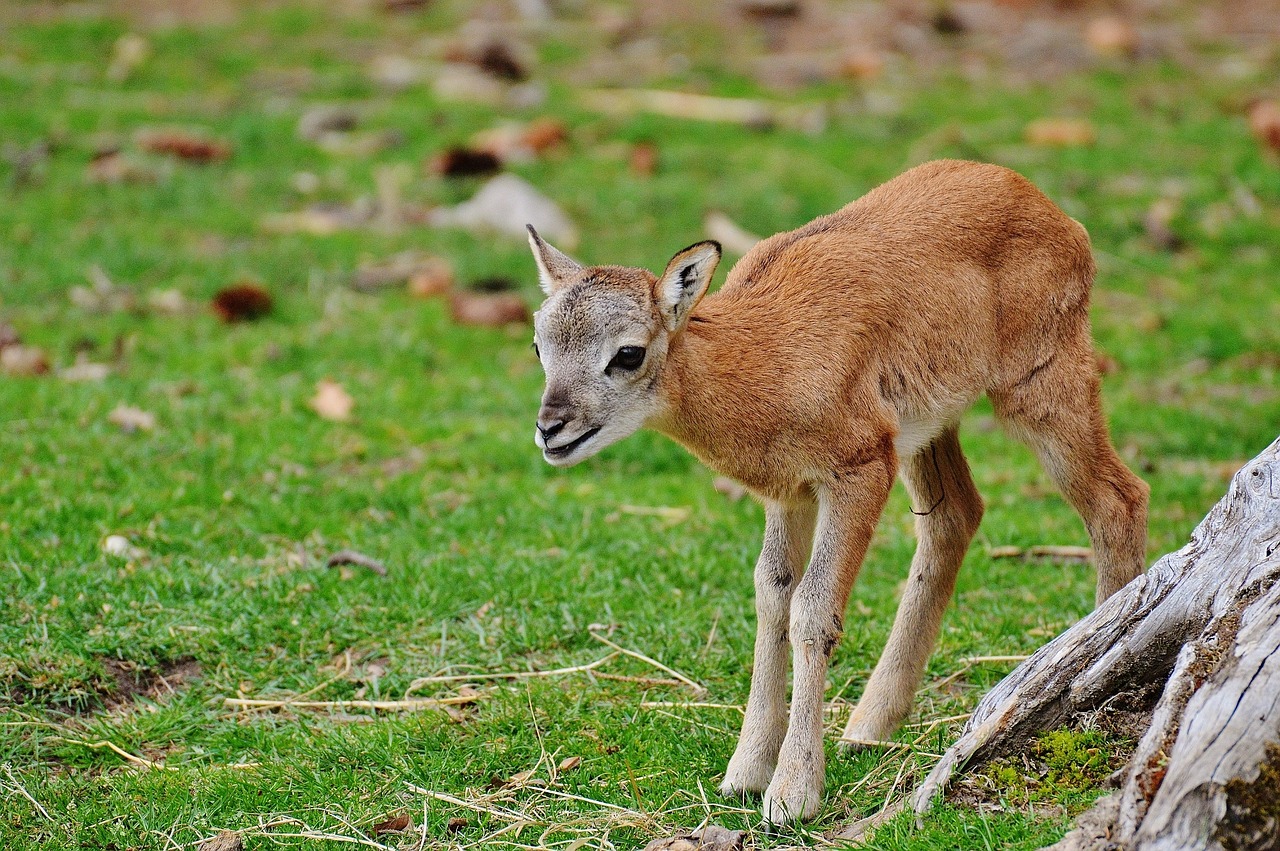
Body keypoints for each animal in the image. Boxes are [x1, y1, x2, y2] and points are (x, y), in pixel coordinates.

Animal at [524, 159, 1146, 824]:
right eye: (539, 344)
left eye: (628, 353)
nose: (551, 428)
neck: (765, 360)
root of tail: (1061, 217)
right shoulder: (789, 491)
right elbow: (771, 596)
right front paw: (744, 774)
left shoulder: (856, 470)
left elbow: (813, 609)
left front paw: (792, 793)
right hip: (928, 427)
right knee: (955, 516)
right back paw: (870, 726)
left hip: (1041, 382)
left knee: (1119, 497)